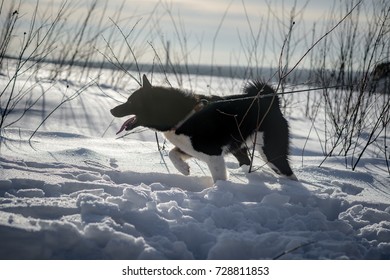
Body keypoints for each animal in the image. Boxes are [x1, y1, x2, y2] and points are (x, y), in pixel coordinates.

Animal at [109, 75, 296, 182]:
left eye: (131, 102)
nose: (112, 110)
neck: (181, 114)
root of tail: (271, 99)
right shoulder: (190, 148)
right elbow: (172, 153)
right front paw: (184, 169)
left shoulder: (213, 155)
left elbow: (219, 179)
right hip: (241, 148)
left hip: (270, 151)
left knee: (288, 173)